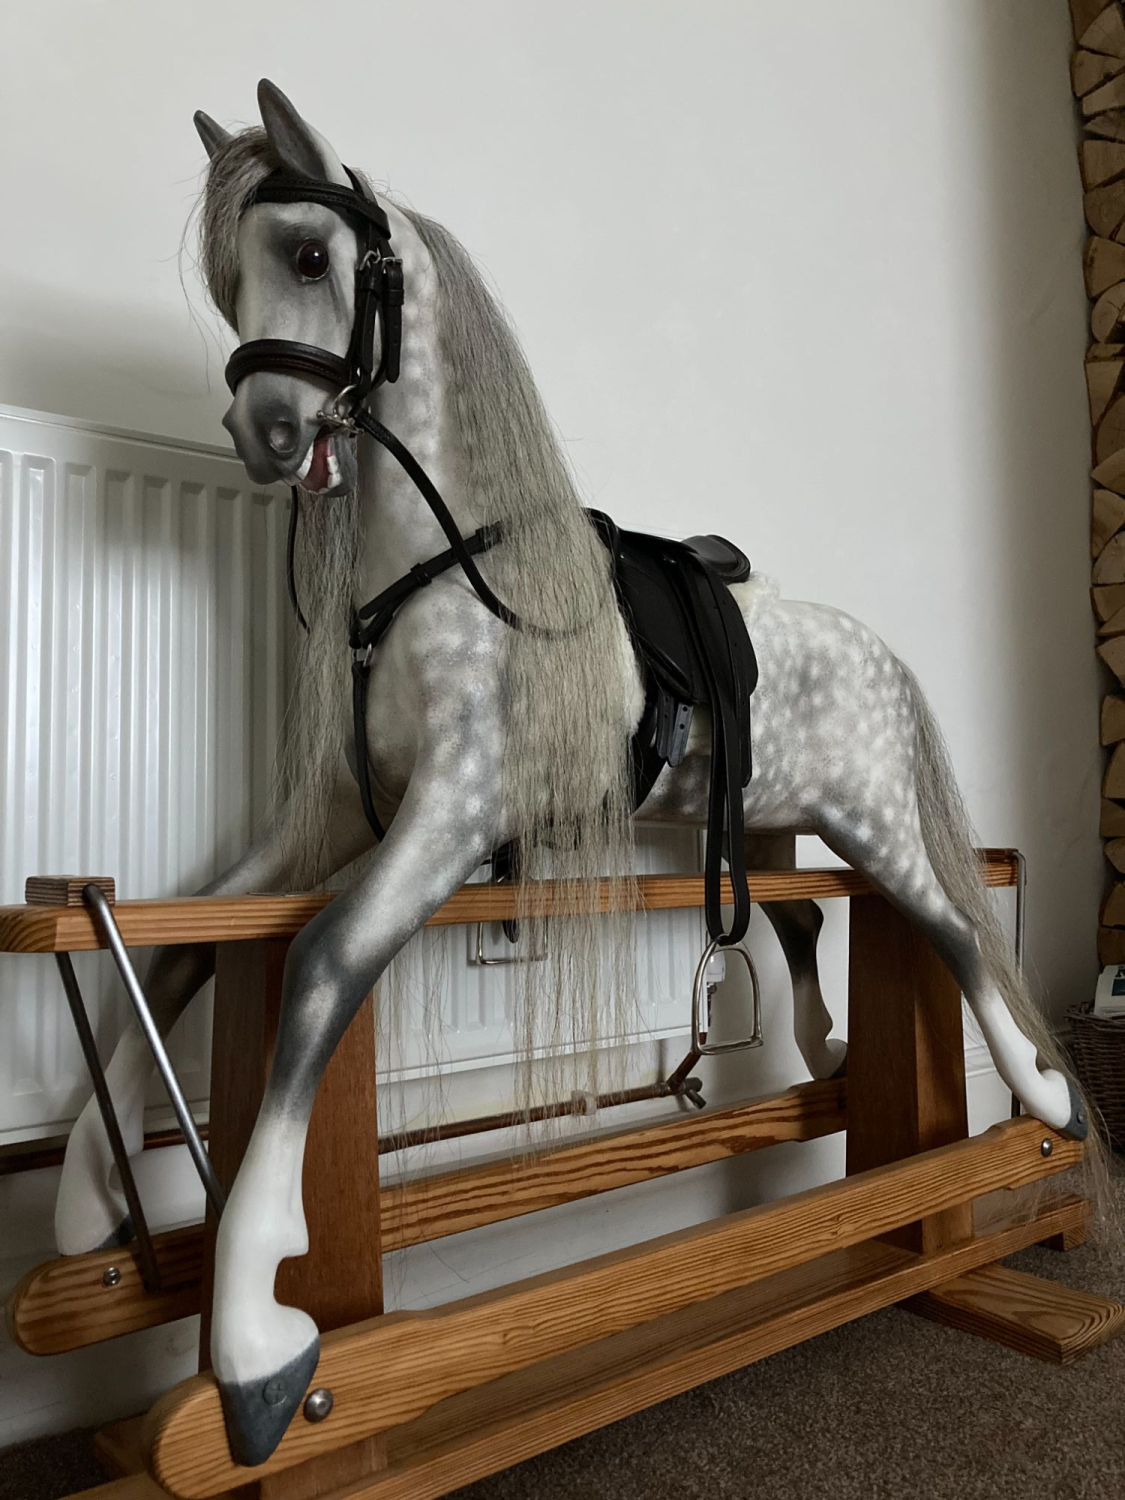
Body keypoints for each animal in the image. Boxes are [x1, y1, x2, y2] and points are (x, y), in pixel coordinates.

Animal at [53, 79, 1088, 1467]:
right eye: (232, 282)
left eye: (312, 255)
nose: (263, 433)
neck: (440, 573)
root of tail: (882, 650)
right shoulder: (338, 817)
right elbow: (182, 940)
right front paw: (83, 1206)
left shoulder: (452, 813)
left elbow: (318, 964)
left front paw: (260, 1346)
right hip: (765, 824)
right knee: (801, 918)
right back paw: (823, 1054)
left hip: (872, 823)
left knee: (955, 934)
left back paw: (1045, 1095)